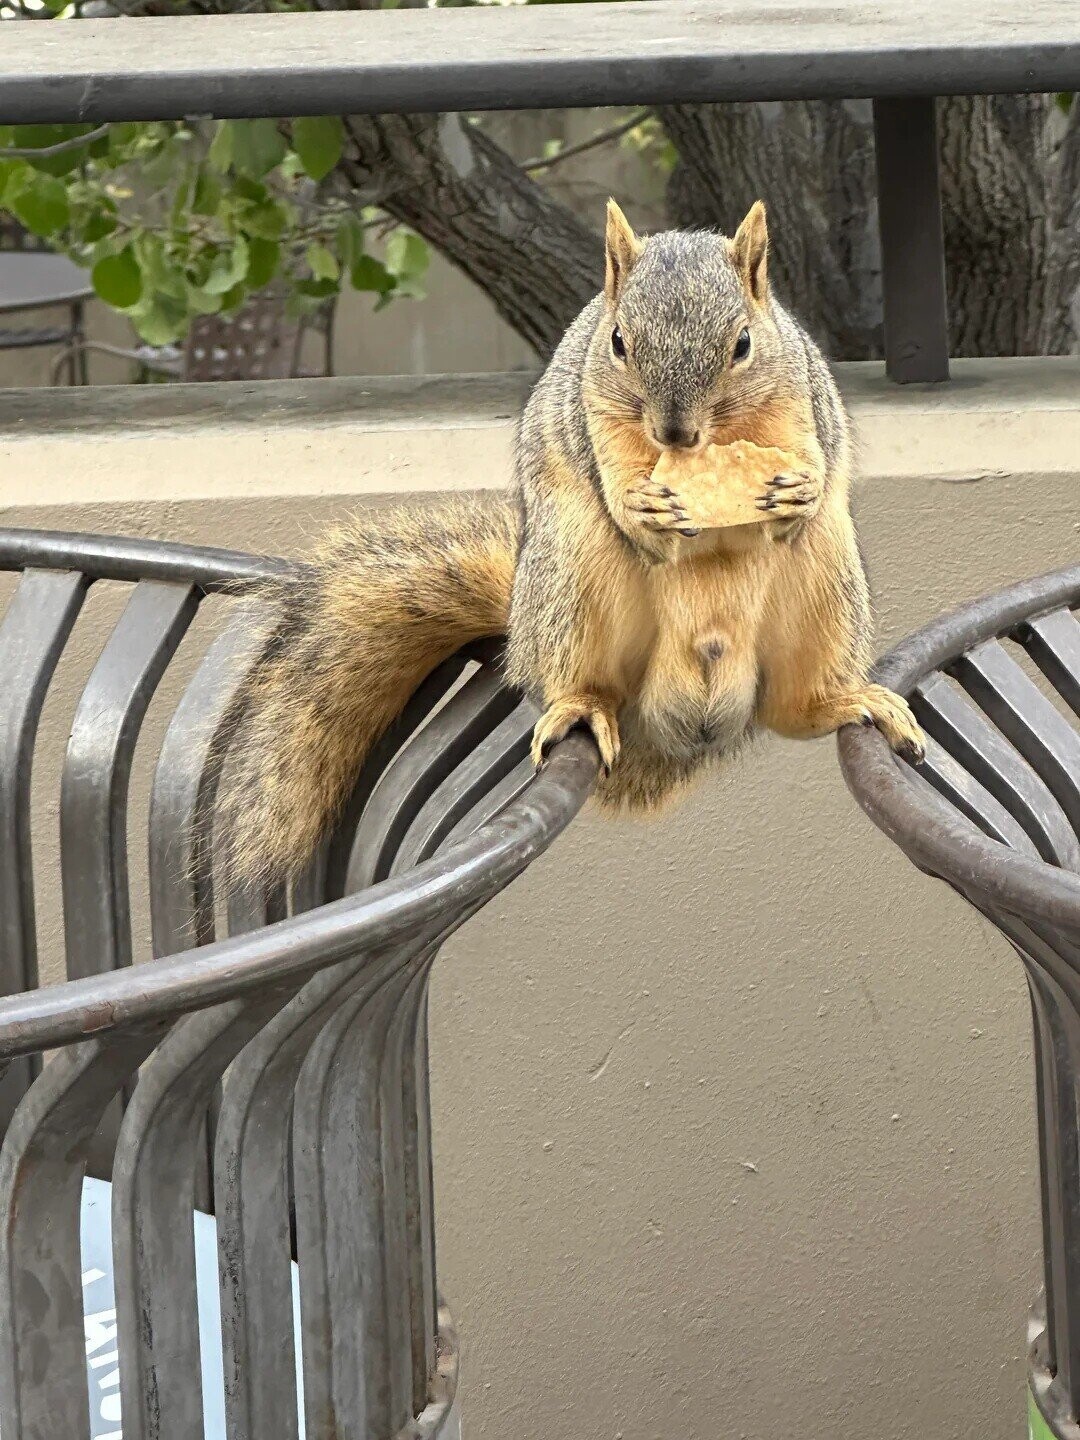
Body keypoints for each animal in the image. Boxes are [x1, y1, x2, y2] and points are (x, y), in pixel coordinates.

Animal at [216, 199, 924, 889]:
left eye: (744, 344)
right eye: (617, 343)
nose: (674, 433)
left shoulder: (800, 402)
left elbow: (810, 457)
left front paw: (798, 490)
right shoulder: (594, 418)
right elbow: (619, 481)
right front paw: (642, 507)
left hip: (825, 587)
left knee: (790, 709)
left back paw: (848, 700)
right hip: (573, 580)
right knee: (586, 682)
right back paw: (581, 708)